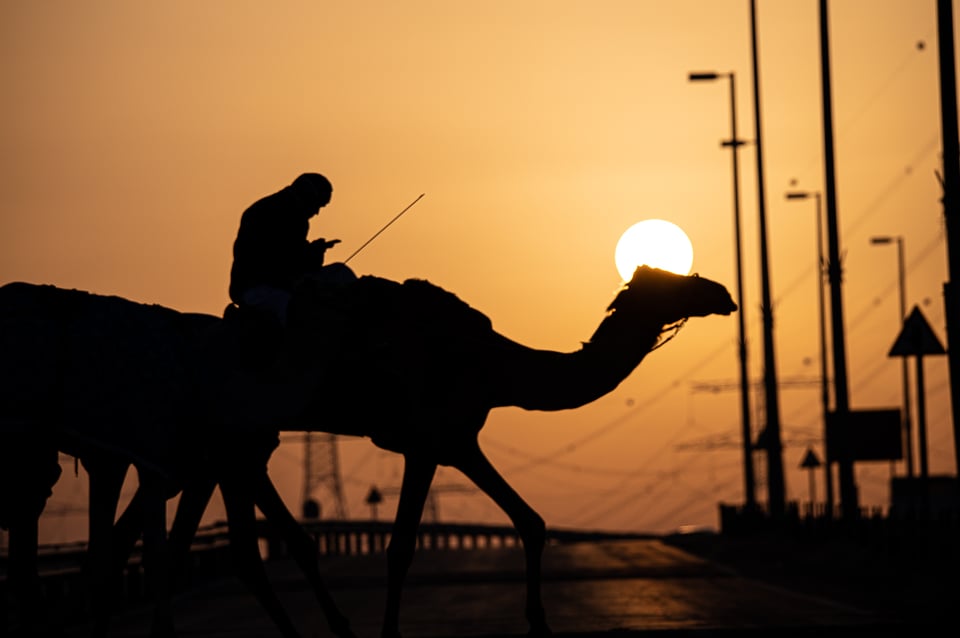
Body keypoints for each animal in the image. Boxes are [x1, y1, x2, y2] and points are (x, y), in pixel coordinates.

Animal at [0, 266, 736, 638]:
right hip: (217, 439)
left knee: (152, 529)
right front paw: (388, 636)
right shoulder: (427, 441)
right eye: (676, 280)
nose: (725, 294)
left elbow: (530, 521)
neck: (498, 365)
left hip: (215, 444)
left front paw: (539, 622)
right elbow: (402, 546)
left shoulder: (457, 439)